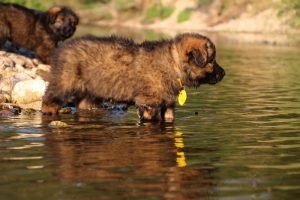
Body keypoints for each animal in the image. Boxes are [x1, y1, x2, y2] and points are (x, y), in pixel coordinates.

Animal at [41, 32, 225, 122]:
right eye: (211, 60)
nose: (224, 73)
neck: (173, 63)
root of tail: (63, 48)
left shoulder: (168, 104)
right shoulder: (149, 102)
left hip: (89, 92)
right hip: (65, 80)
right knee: (49, 98)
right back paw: (49, 111)